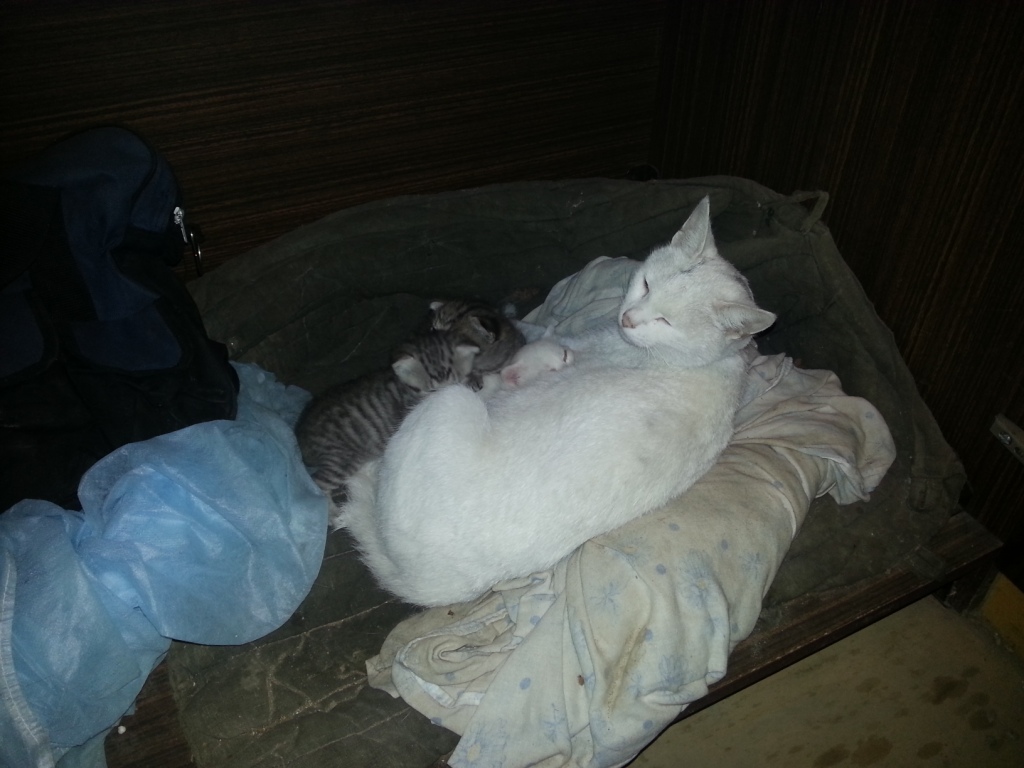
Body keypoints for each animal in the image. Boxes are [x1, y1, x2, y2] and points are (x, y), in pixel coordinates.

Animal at [294, 329, 478, 519]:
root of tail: (301, 431)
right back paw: (331, 514)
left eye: (455, 382)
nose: (447, 397)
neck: (405, 388)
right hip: (342, 458)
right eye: (432, 390)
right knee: (317, 483)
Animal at [339, 197, 776, 606]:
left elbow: (534, 342)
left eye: (666, 321)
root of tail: (414, 580)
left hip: (450, 402)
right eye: (647, 285)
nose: (629, 319)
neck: (712, 363)